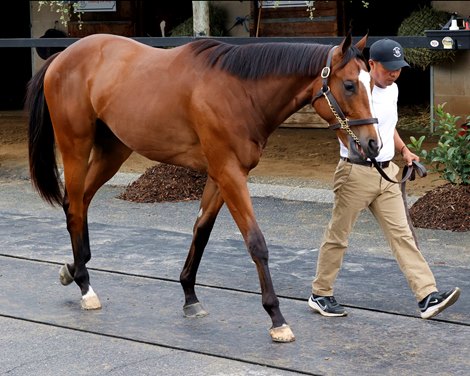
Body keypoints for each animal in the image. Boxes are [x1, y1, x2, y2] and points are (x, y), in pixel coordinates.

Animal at [25, 33, 380, 344]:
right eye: (349, 85)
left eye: (372, 85)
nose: (373, 145)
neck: (239, 90)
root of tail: (63, 57)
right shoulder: (229, 173)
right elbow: (256, 243)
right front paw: (276, 318)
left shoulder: (221, 176)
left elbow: (202, 231)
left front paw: (189, 296)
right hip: (75, 146)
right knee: (74, 206)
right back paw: (86, 288)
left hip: (112, 150)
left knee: (81, 202)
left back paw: (74, 269)